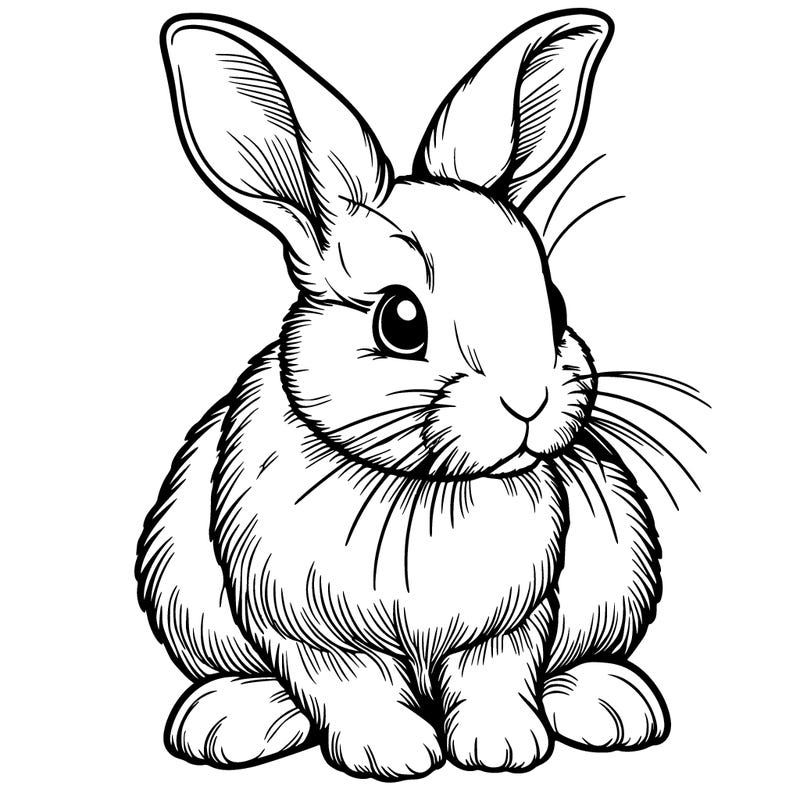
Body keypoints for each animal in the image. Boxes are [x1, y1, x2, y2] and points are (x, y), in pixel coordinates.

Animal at [136, 9, 670, 781]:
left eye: (554, 302)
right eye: (400, 320)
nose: (529, 401)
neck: (428, 487)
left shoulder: (513, 621)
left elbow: (496, 674)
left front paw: (503, 749)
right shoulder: (307, 631)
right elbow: (350, 684)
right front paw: (392, 757)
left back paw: (614, 706)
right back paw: (227, 723)